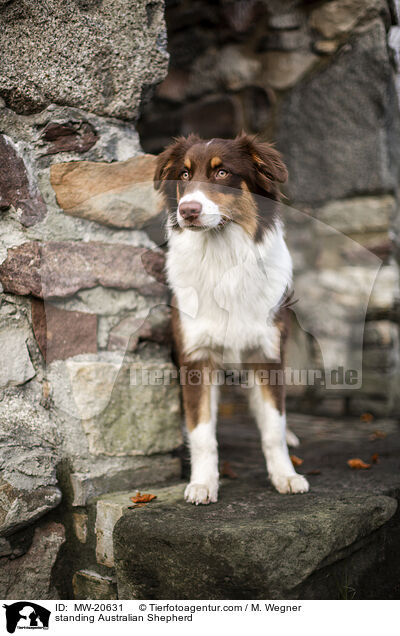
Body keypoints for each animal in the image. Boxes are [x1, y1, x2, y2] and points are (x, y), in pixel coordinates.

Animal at [154, 135, 310, 506]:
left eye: (222, 172)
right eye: (184, 174)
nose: (188, 211)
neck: (222, 259)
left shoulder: (267, 353)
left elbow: (272, 426)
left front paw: (285, 475)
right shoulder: (196, 358)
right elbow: (201, 431)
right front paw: (202, 482)